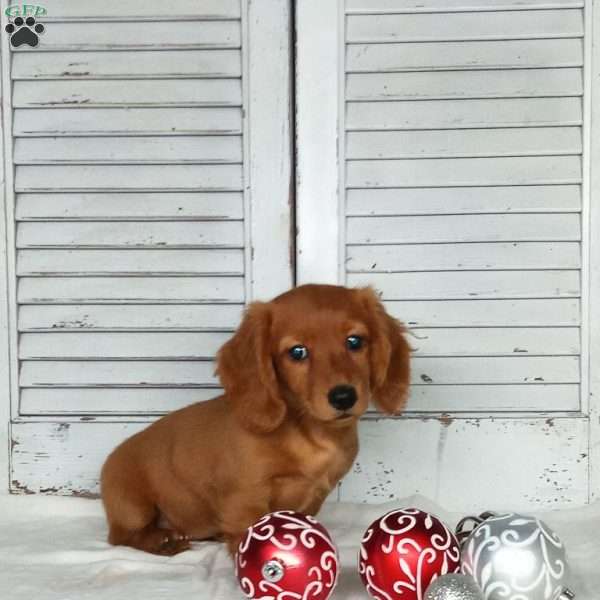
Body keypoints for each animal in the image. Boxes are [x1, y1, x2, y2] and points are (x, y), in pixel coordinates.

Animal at [102, 284, 412, 556]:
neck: (308, 432)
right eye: (297, 352)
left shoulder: (314, 497)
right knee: (121, 536)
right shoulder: (246, 497)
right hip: (133, 505)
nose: (344, 397)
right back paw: (162, 541)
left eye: (355, 341)